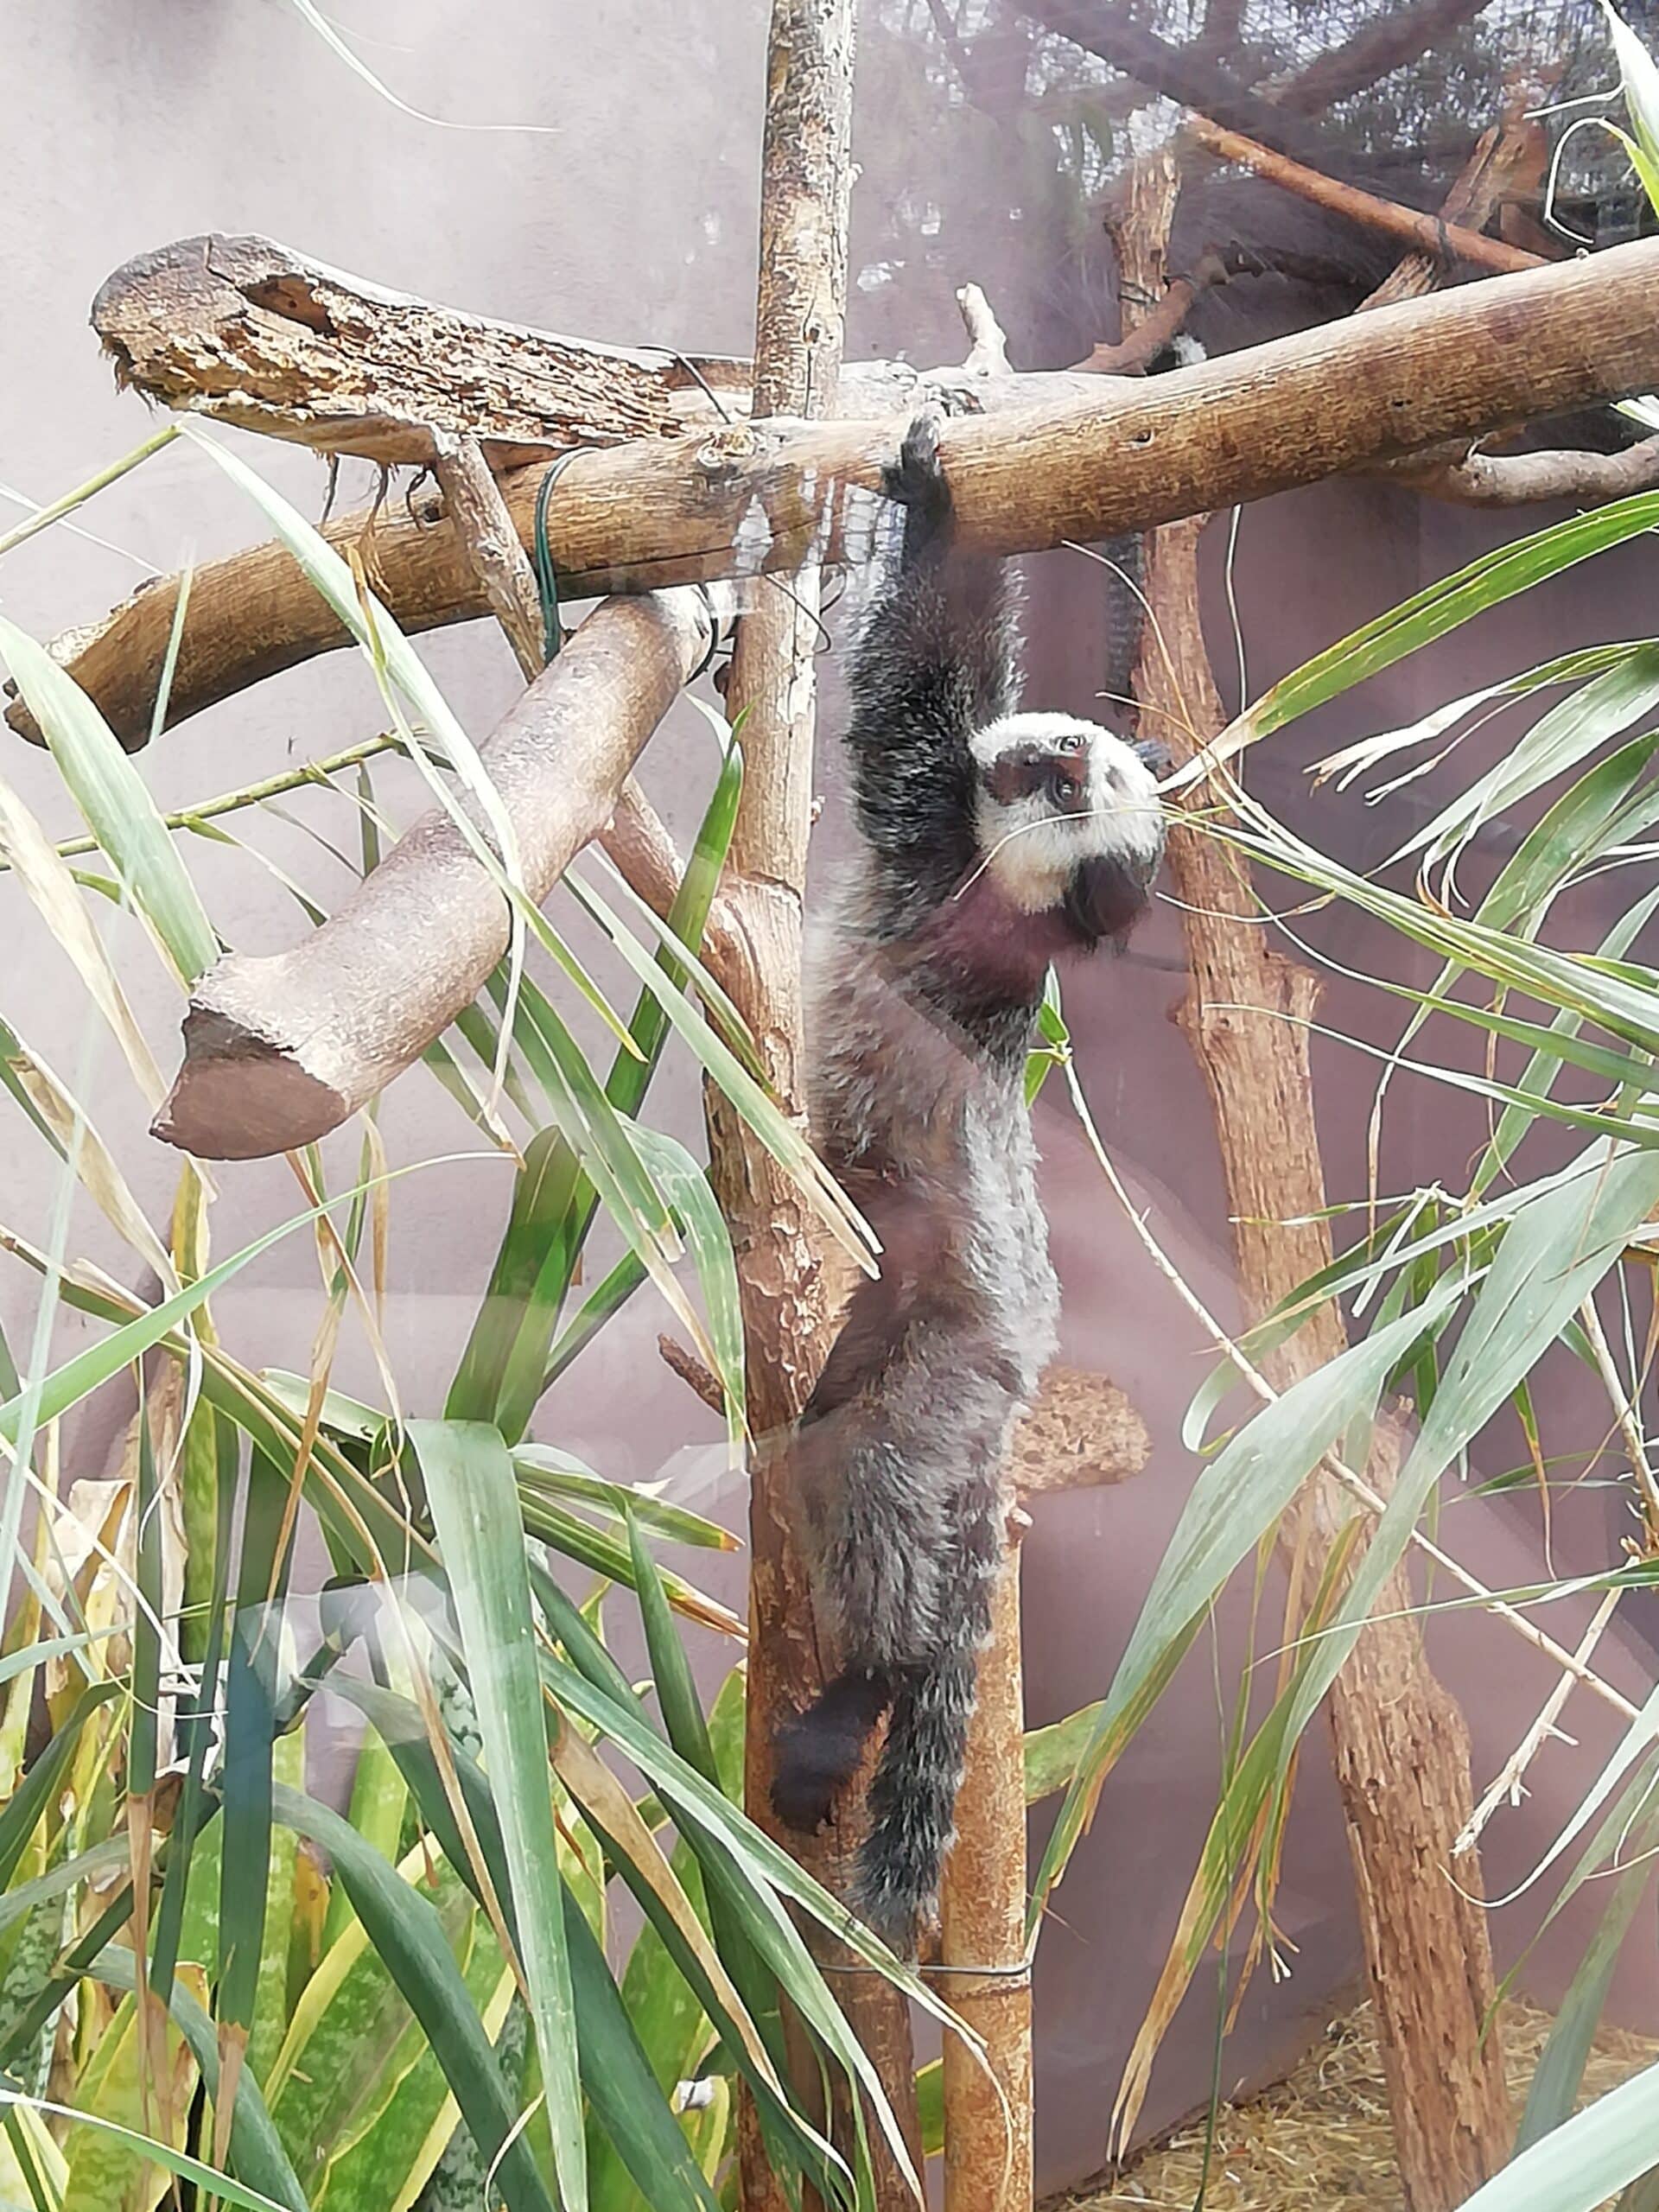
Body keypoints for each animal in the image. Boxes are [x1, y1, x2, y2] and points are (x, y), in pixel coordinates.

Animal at [769, 409, 1168, 1950]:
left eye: (1066, 785)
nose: (1042, 748)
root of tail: (1020, 1367)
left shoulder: (926, 828)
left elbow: (906, 696)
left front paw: (940, 507)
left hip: (953, 1366)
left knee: (881, 1480)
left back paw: (860, 1695)